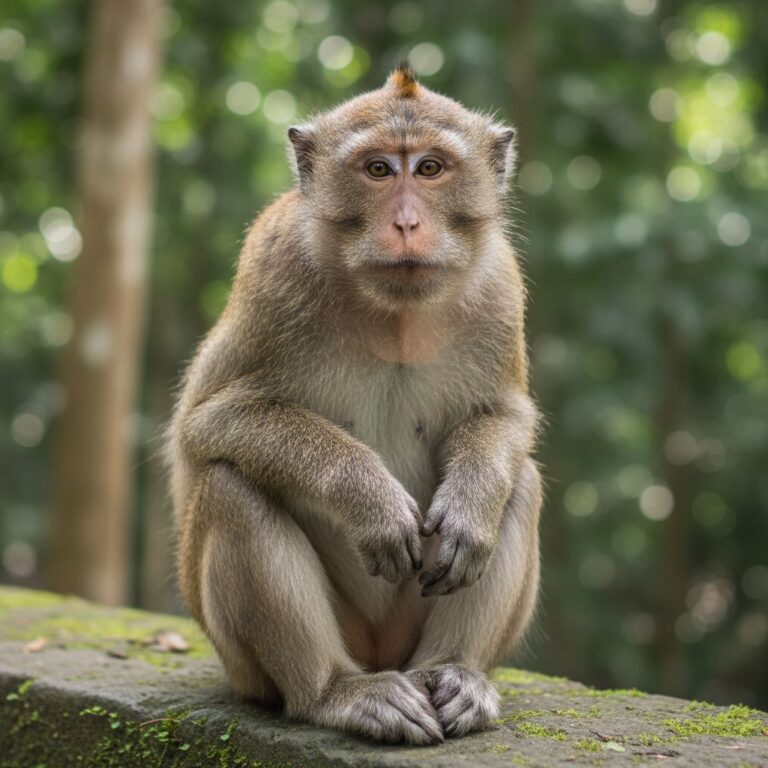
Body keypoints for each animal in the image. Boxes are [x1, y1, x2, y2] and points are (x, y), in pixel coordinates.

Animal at [168, 63, 542, 746]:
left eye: (430, 169)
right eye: (377, 170)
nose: (406, 224)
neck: (393, 312)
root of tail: (380, 654)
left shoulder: (501, 288)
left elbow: (504, 416)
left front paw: (470, 505)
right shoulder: (274, 271)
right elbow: (207, 425)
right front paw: (369, 500)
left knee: (521, 483)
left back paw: (456, 674)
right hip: (248, 661)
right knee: (232, 486)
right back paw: (336, 692)